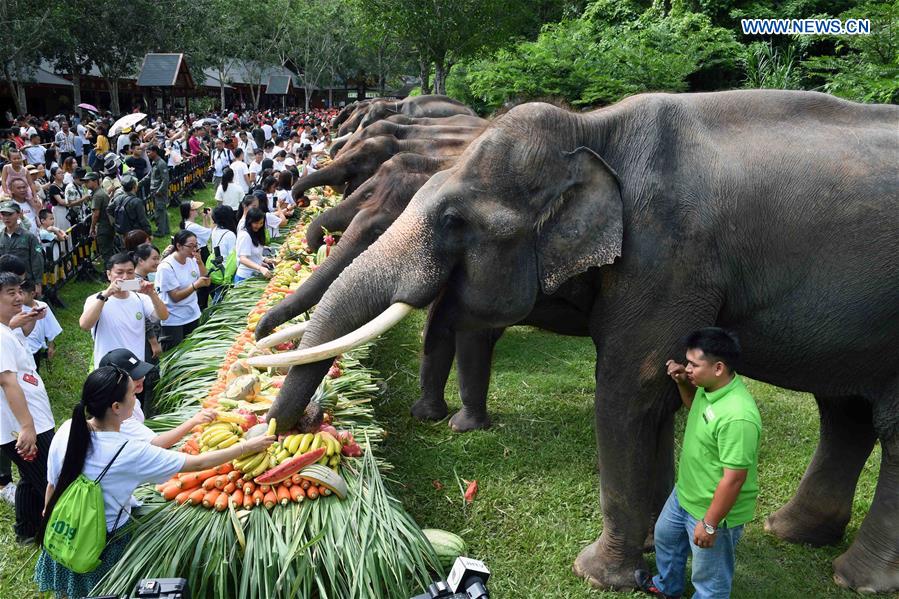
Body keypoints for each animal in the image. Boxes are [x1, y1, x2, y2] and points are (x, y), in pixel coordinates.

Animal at [250, 90, 899, 593]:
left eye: (453, 221)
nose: (302, 423)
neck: (593, 130)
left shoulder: (667, 257)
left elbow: (629, 388)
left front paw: (597, 573)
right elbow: (658, 395)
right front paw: (652, 549)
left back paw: (855, 577)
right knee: (844, 412)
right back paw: (790, 532)